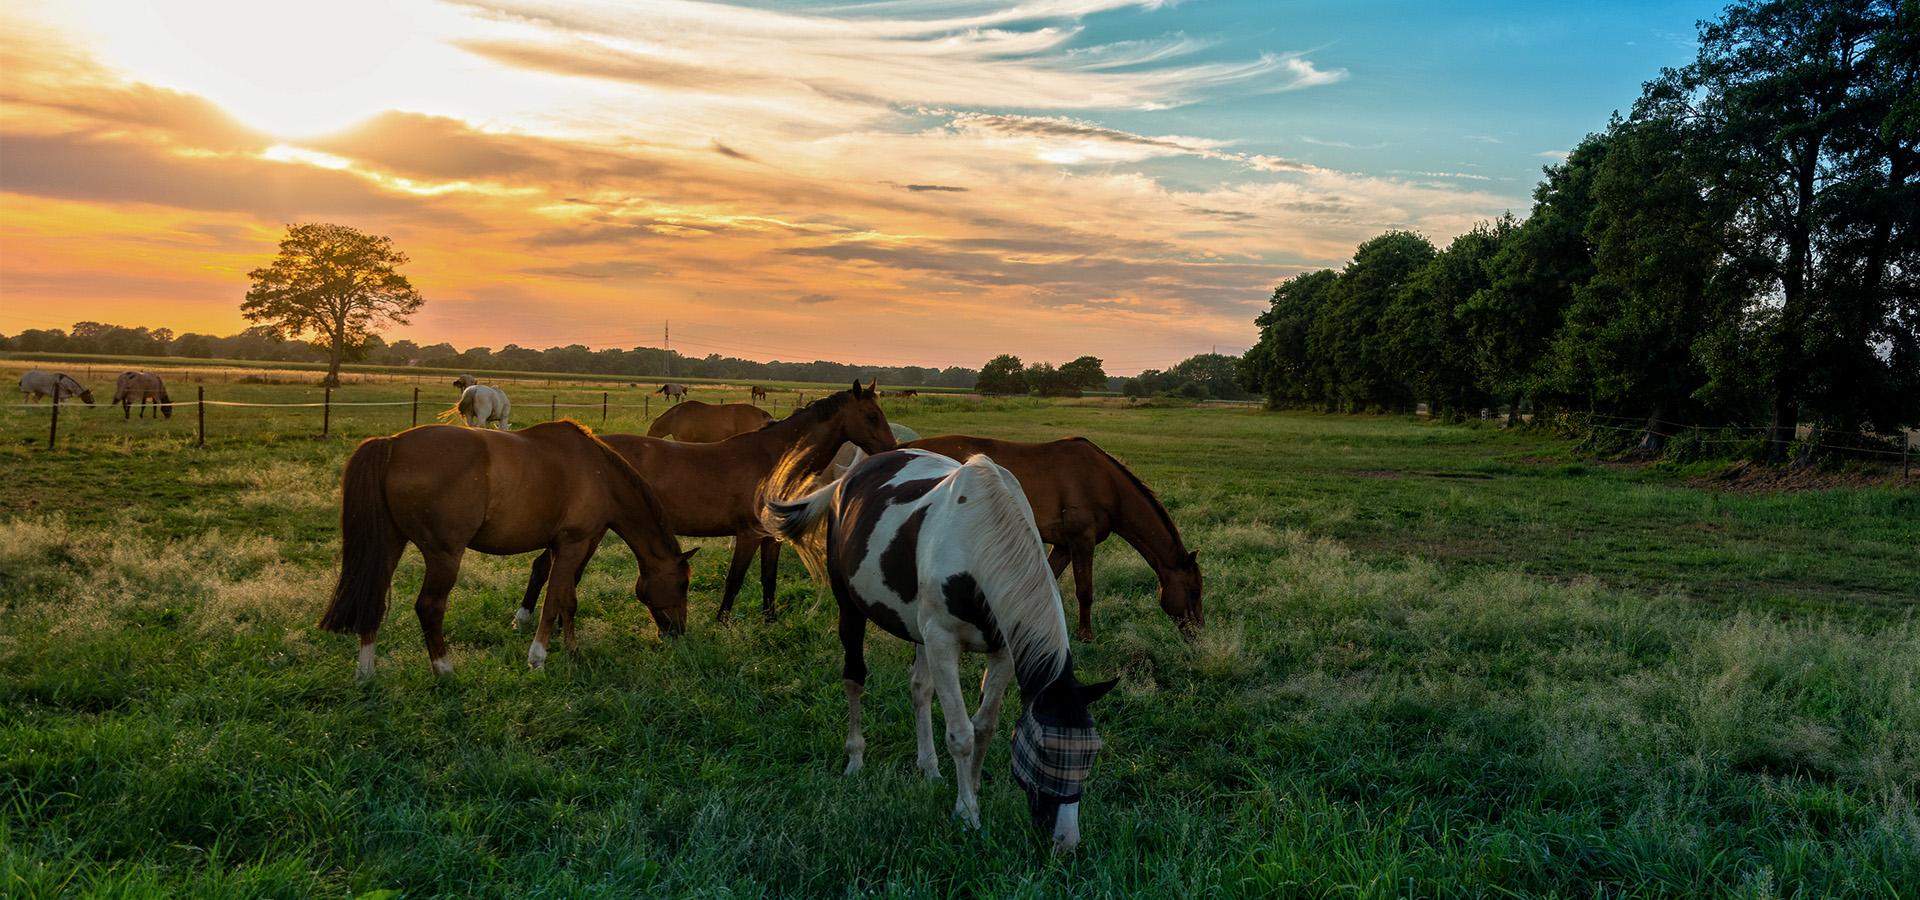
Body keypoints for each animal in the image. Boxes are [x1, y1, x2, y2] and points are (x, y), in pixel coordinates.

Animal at [318, 420, 695, 679]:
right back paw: (445, 669)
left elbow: (567, 600)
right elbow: (554, 601)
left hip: (390, 545)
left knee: (373, 599)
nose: (678, 632)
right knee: (429, 607)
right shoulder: (573, 544)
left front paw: (572, 651)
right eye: (683, 584)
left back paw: (366, 672)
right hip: (444, 555)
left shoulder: (563, 546)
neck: (599, 473)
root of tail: (393, 444)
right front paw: (538, 657)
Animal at [522, 379, 902, 625]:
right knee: (546, 567)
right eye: (871, 416)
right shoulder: (748, 535)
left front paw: (770, 619)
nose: (892, 450)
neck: (773, 460)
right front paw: (721, 621)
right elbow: (735, 579)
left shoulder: (771, 537)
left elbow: (768, 579)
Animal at [760, 449, 1121, 848]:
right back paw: (855, 759)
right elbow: (961, 734)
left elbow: (984, 726)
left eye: (1091, 754)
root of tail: (848, 478)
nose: (1066, 841)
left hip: (919, 632)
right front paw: (967, 814)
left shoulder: (1002, 650)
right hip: (850, 608)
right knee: (854, 678)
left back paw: (929, 768)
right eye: (1044, 750)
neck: (978, 538)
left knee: (920, 689)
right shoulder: (943, 642)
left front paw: (972, 790)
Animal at [902, 433, 1198, 637]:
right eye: (1192, 591)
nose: (1197, 633)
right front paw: (1085, 636)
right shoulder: (1082, 541)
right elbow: (1084, 590)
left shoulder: (1064, 546)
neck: (1104, 483)